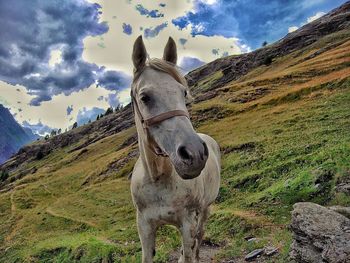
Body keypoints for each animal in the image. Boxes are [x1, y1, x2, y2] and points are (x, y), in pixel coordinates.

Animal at [130, 35, 220, 263]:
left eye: (183, 92)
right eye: (145, 97)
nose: (195, 153)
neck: (157, 178)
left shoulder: (187, 222)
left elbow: (189, 250)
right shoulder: (144, 226)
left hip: (205, 210)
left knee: (200, 236)